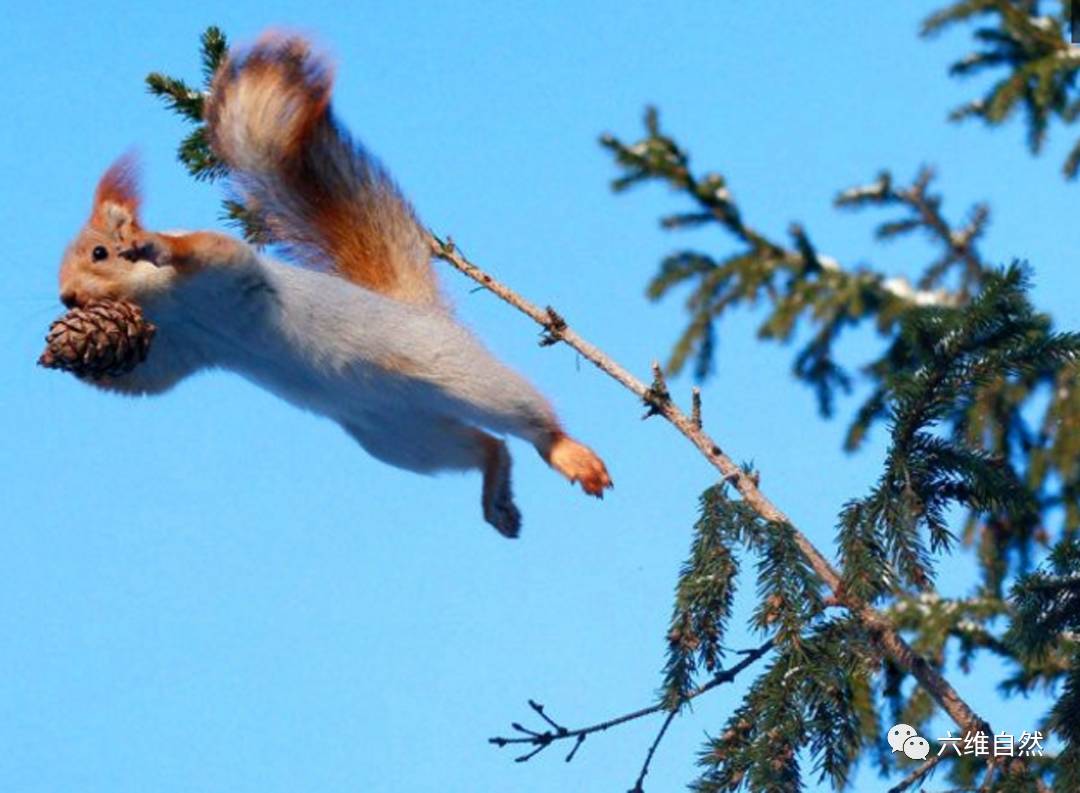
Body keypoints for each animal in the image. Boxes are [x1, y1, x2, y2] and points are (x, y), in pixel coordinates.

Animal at [59, 34, 613, 538]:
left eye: (99, 253)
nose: (66, 298)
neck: (172, 305)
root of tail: (422, 312)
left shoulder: (225, 269)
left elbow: (204, 248)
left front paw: (151, 246)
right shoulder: (182, 346)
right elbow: (153, 378)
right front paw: (65, 359)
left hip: (456, 375)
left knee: (525, 416)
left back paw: (567, 452)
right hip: (401, 438)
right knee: (486, 447)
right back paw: (497, 495)